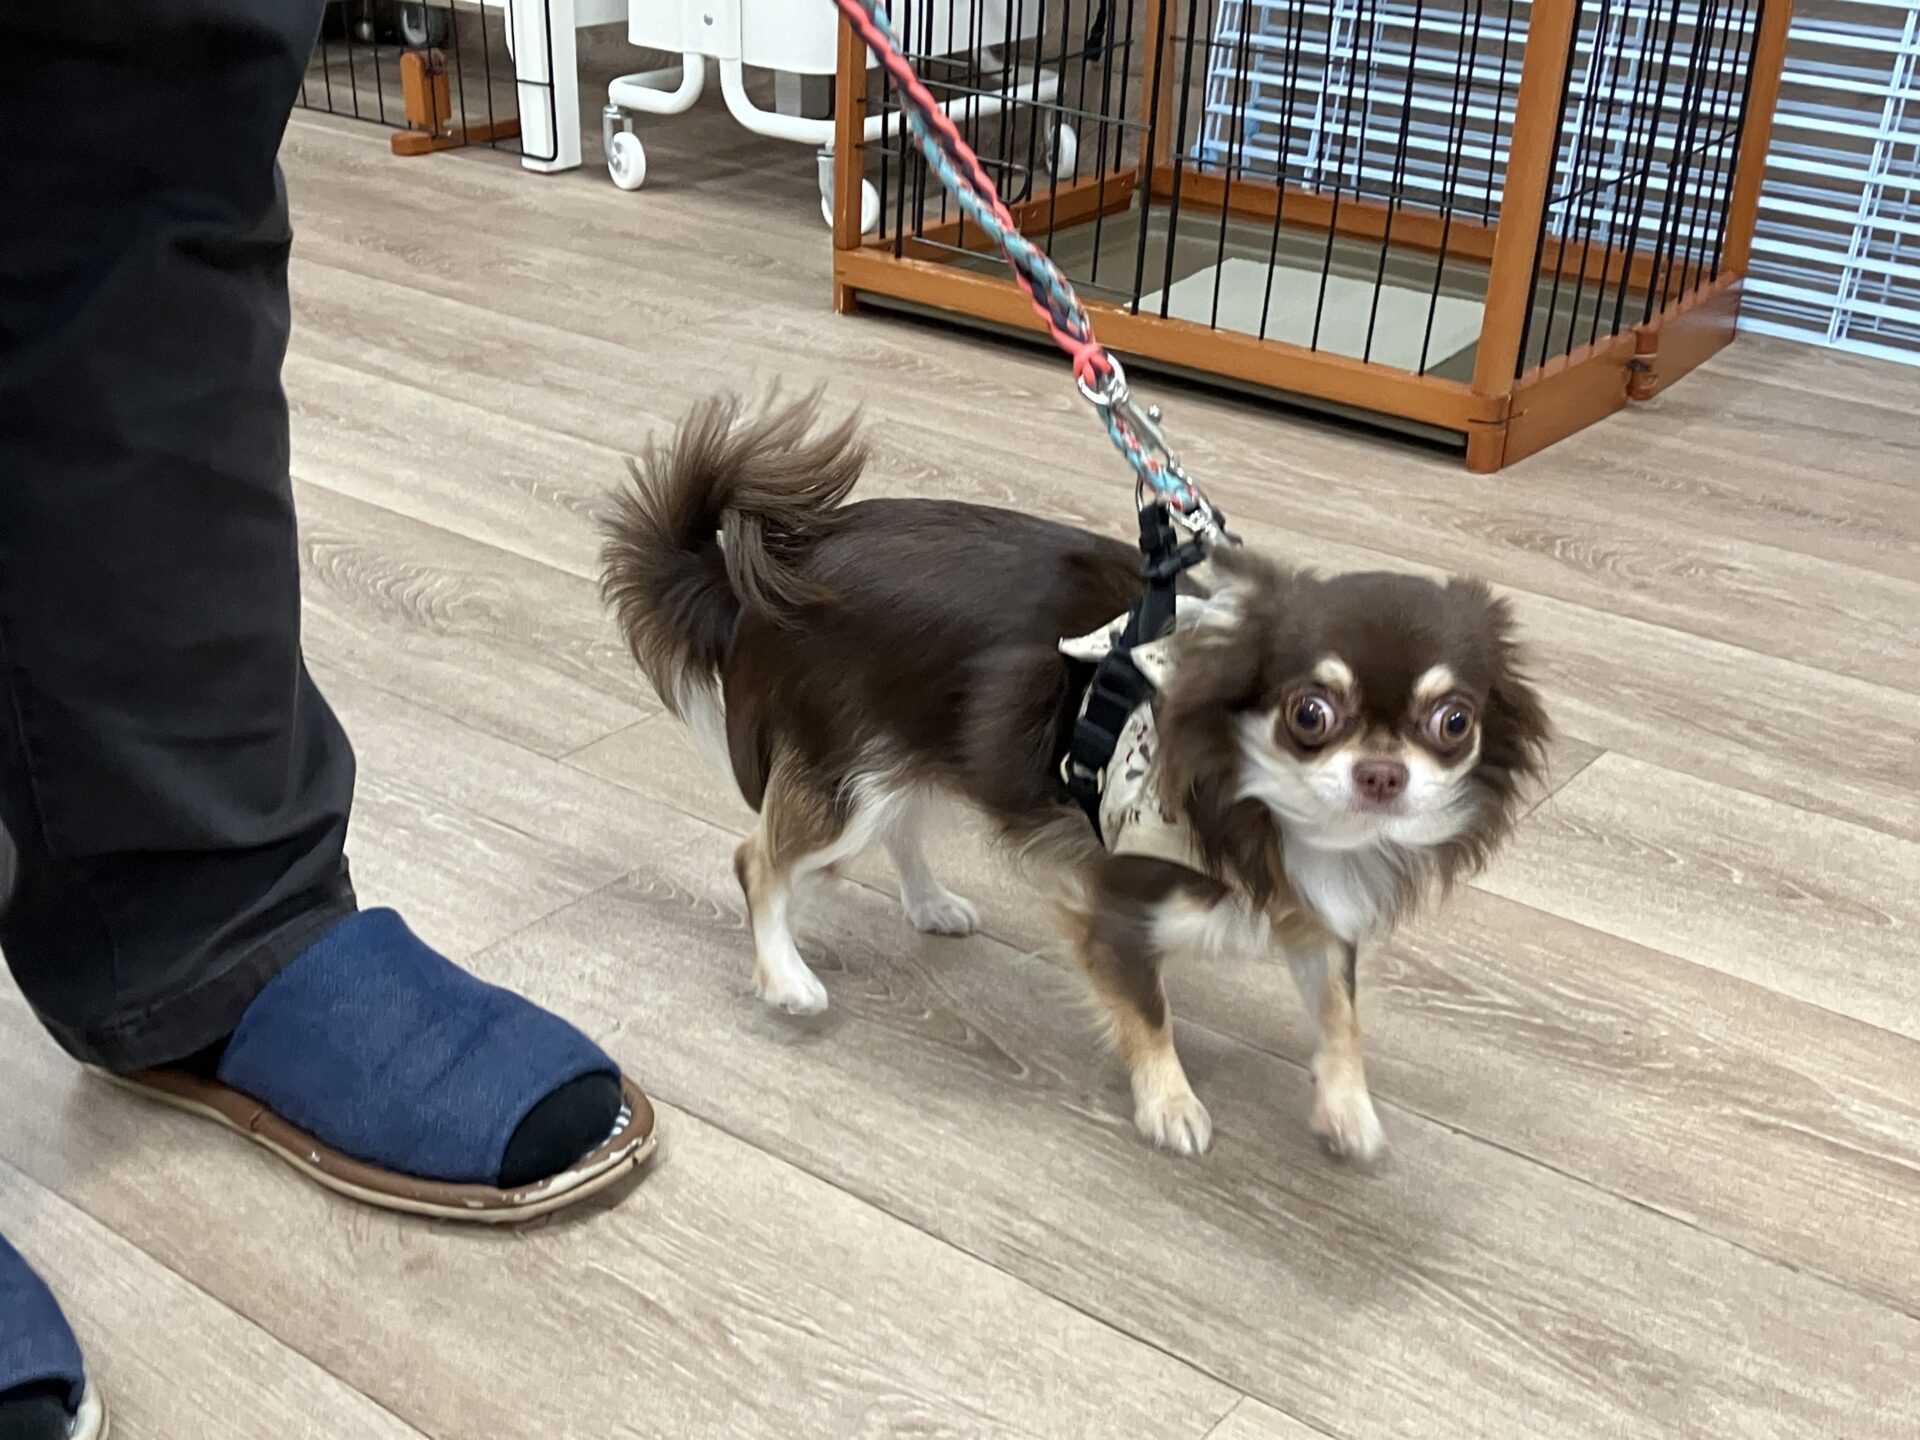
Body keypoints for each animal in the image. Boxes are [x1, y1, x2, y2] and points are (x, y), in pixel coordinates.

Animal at [600, 393, 1549, 1161]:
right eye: (1309, 714)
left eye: (1454, 723)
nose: (1384, 774)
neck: (1276, 812)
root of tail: (765, 579)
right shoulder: (1117, 901)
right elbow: (1149, 1009)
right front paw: (1170, 1104)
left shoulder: (1317, 913)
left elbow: (1342, 1014)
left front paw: (1347, 1110)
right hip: (843, 779)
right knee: (758, 861)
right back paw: (788, 980)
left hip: (903, 752)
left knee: (898, 824)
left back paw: (929, 904)